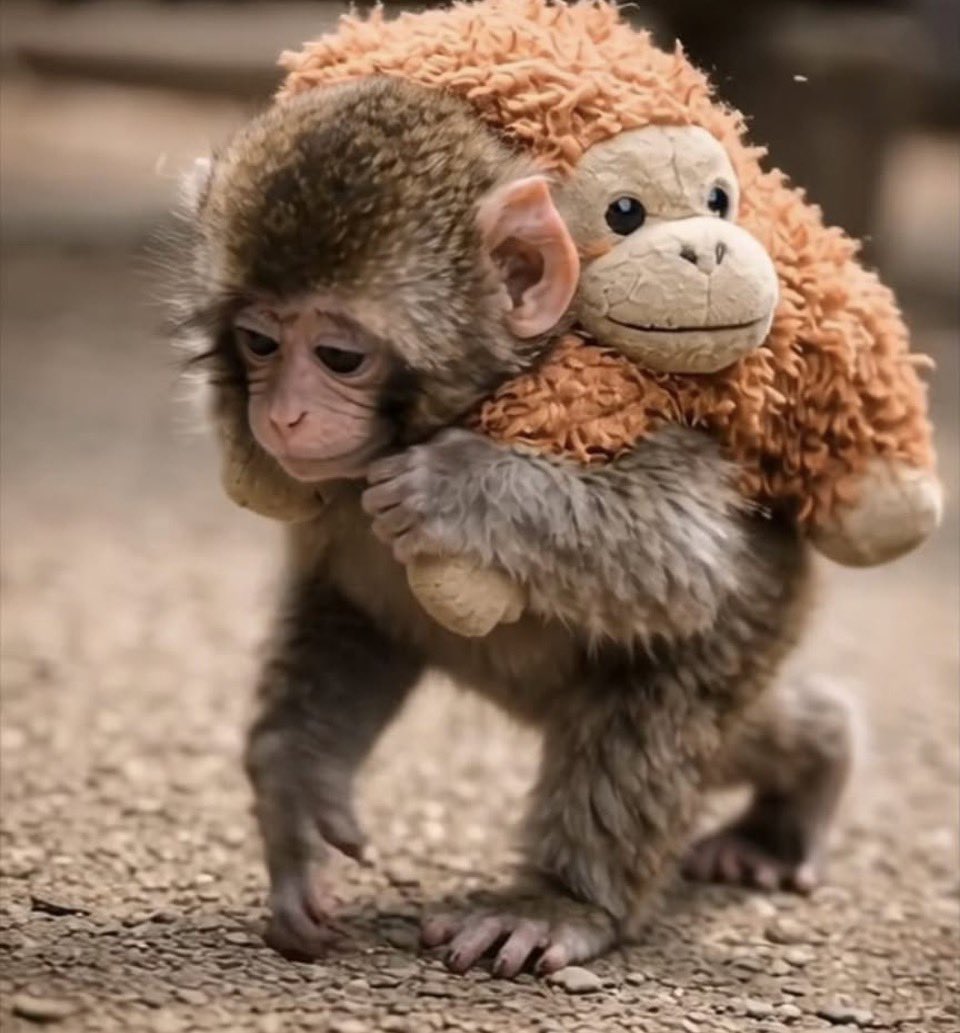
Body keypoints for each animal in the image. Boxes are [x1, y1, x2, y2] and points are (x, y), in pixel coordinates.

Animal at [177, 76, 853, 976]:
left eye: (339, 357)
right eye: (257, 342)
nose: (283, 416)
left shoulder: (628, 407)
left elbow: (685, 555)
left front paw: (457, 487)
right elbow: (352, 619)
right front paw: (296, 796)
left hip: (769, 605)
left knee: (672, 695)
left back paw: (571, 899)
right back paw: (804, 777)